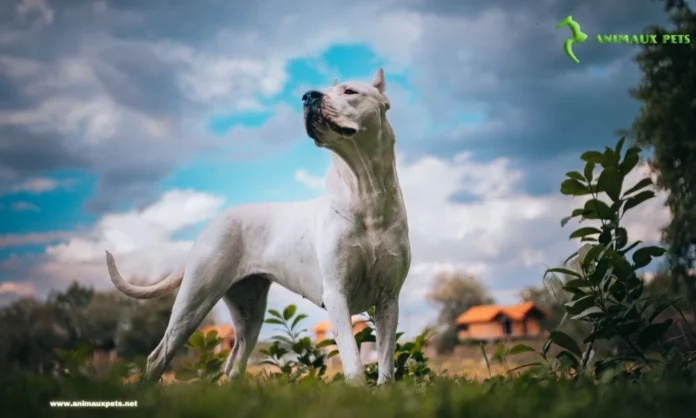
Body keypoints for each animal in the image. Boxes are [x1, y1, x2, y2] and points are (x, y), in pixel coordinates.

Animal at [106, 68, 410, 386]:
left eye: (350, 92)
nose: (308, 96)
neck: (366, 191)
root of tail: (212, 223)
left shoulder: (389, 301)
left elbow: (386, 366)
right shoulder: (337, 295)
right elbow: (353, 363)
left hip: (249, 311)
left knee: (234, 363)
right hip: (194, 301)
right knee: (158, 356)